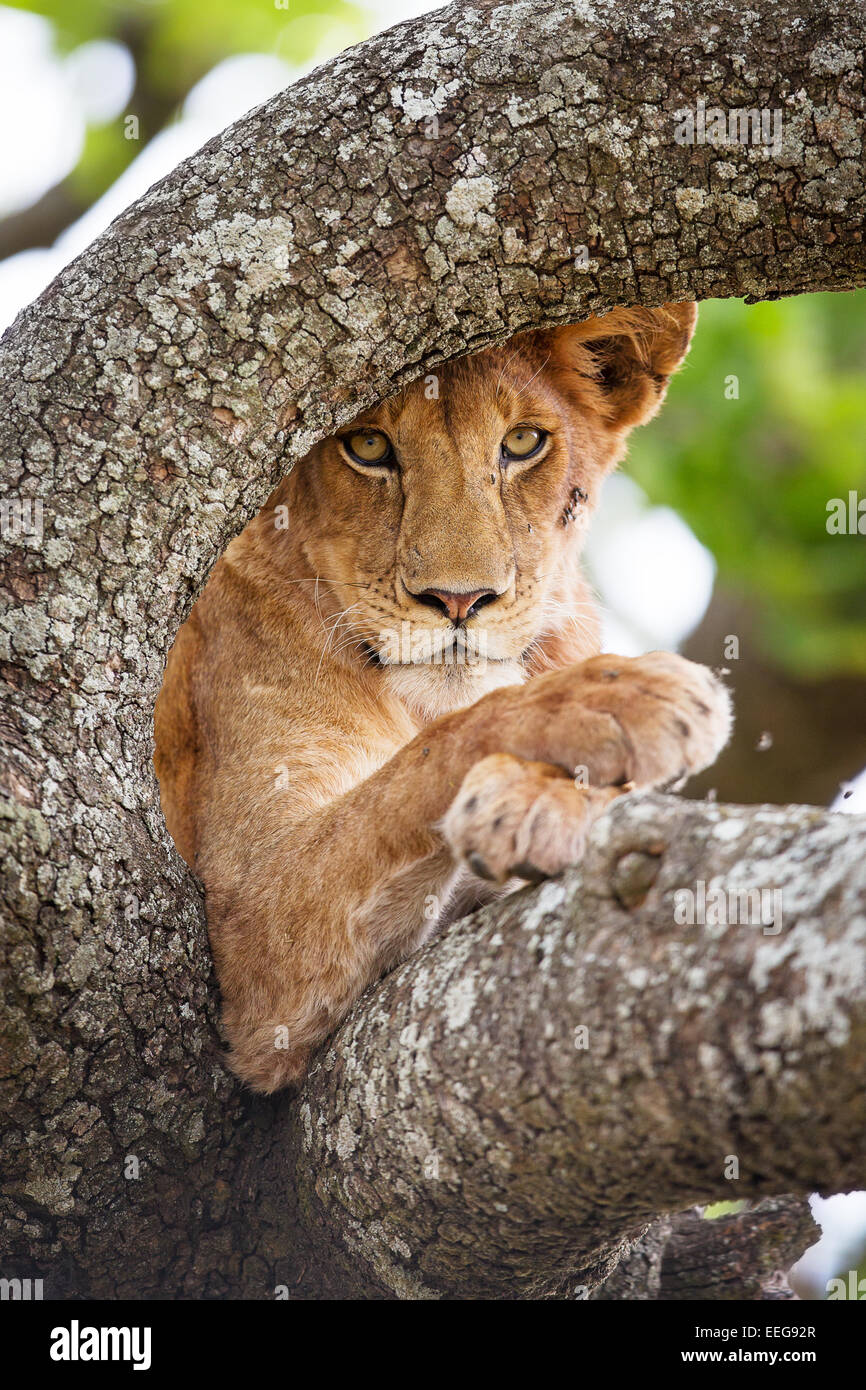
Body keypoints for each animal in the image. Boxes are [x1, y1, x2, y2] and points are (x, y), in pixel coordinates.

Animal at [154, 304, 733, 1095]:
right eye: (367, 445)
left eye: (522, 443)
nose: (460, 600)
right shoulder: (253, 922)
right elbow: (432, 751)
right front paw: (620, 700)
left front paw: (541, 799)